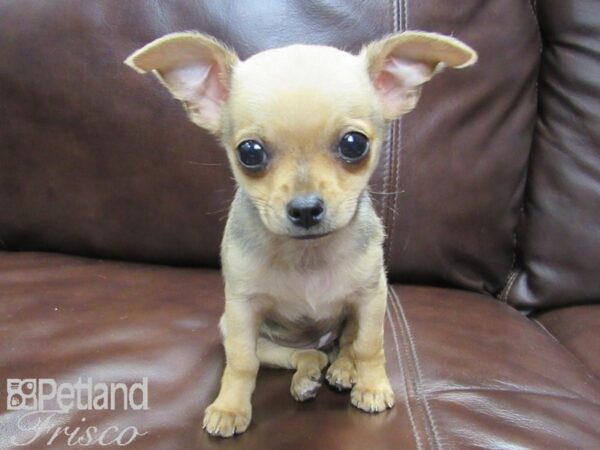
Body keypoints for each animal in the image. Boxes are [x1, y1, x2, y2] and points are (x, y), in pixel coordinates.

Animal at [124, 30, 476, 436]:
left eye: (354, 144)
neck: (308, 255)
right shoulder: (241, 312)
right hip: (245, 333)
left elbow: (370, 346)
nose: (306, 208)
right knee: (303, 355)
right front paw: (230, 408)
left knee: (345, 345)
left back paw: (343, 370)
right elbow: (241, 363)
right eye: (250, 153)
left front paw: (372, 387)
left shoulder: (372, 297)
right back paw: (307, 376)